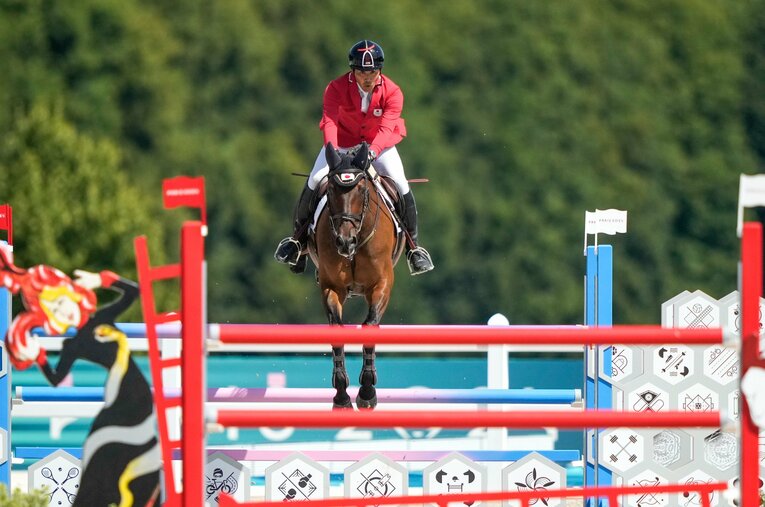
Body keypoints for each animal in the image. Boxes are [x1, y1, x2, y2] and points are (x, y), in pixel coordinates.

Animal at [307, 142, 405, 410]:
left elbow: (370, 325)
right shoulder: (331, 287)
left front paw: (367, 391)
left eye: (361, 190)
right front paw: (341, 395)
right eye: (330, 190)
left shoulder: (382, 284)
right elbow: (338, 332)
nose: (344, 241)